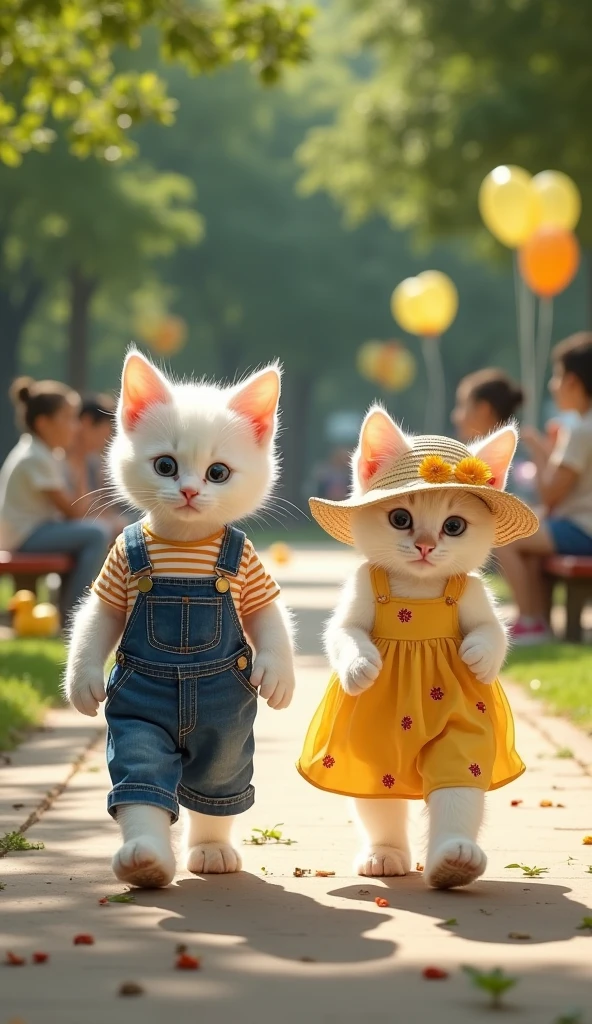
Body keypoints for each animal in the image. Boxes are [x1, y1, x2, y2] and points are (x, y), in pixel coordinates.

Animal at [65, 348, 292, 884]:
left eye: (218, 473)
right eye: (165, 466)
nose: (188, 491)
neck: (186, 545)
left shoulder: (250, 567)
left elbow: (269, 617)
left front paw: (278, 676)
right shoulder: (115, 568)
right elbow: (96, 620)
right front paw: (82, 682)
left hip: (228, 733)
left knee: (216, 783)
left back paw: (211, 850)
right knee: (147, 777)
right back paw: (146, 856)